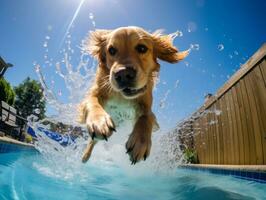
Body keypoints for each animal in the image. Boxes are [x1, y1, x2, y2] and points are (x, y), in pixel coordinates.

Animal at [79, 26, 189, 164]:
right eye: (111, 50)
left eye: (142, 48)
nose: (123, 74)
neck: (122, 96)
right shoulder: (96, 92)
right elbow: (92, 101)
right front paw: (98, 121)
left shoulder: (146, 105)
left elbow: (146, 118)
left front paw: (141, 142)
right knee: (93, 141)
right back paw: (85, 156)